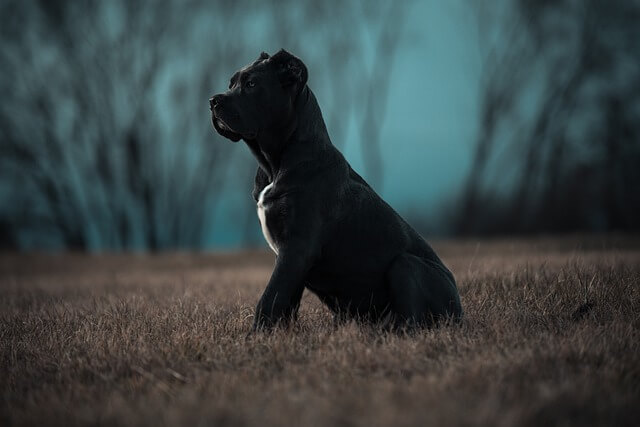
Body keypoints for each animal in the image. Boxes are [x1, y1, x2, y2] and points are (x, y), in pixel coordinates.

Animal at [210, 50, 460, 332]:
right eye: (231, 83)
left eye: (252, 84)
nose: (213, 101)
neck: (274, 163)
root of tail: (460, 310)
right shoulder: (290, 257)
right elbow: (285, 301)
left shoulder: (297, 247)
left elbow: (270, 298)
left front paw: (255, 336)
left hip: (406, 265)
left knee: (411, 320)